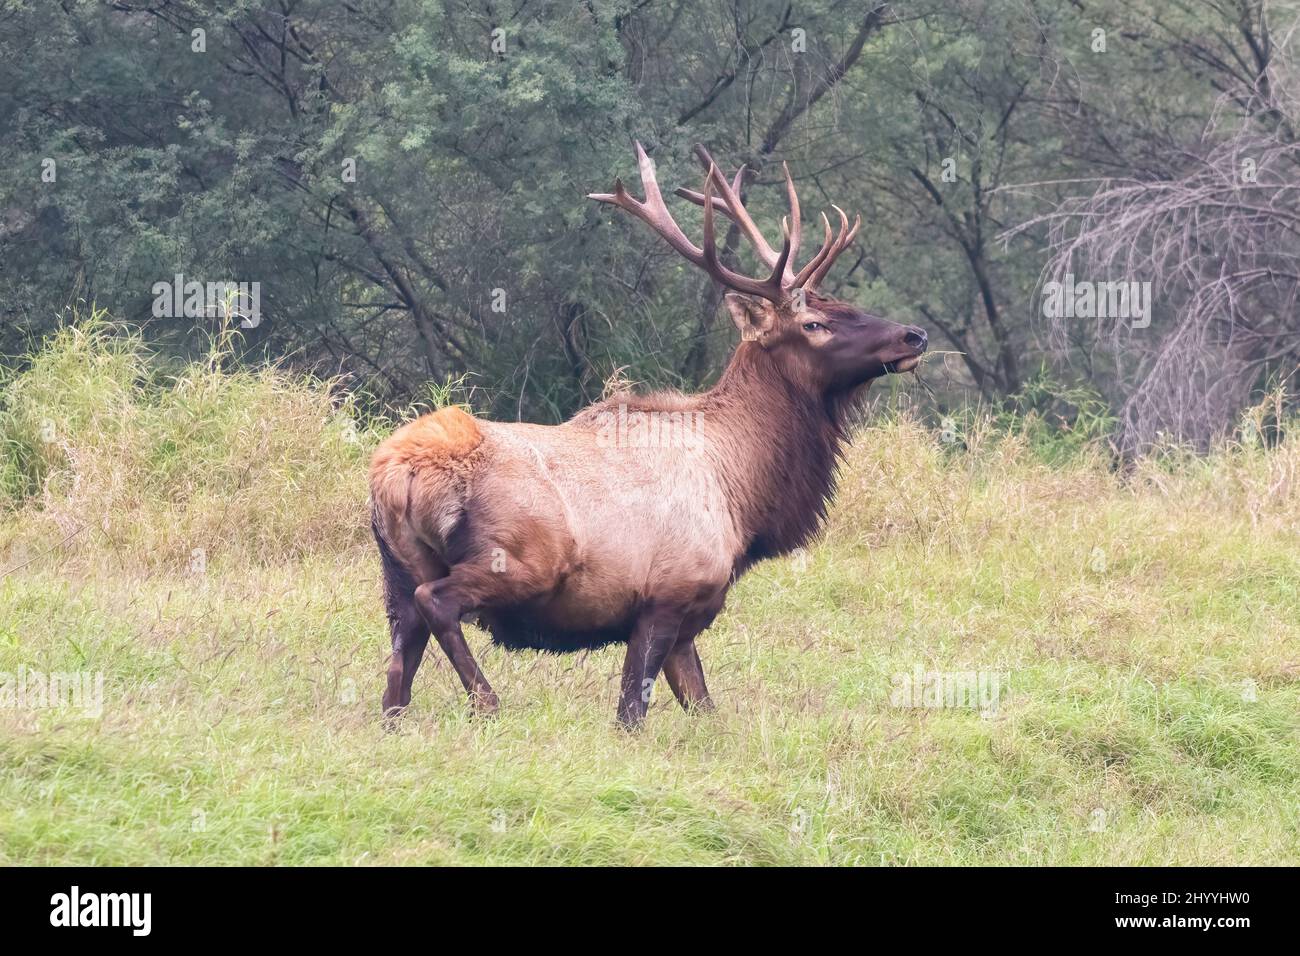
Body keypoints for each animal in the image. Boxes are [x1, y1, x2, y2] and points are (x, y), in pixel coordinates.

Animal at [371, 141, 930, 728]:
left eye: (844, 303)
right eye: (813, 325)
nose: (915, 334)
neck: (741, 496)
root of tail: (396, 476)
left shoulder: (687, 618)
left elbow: (706, 710)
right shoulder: (667, 593)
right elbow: (631, 716)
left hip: (396, 573)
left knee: (398, 665)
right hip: (517, 561)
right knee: (437, 602)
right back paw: (487, 701)